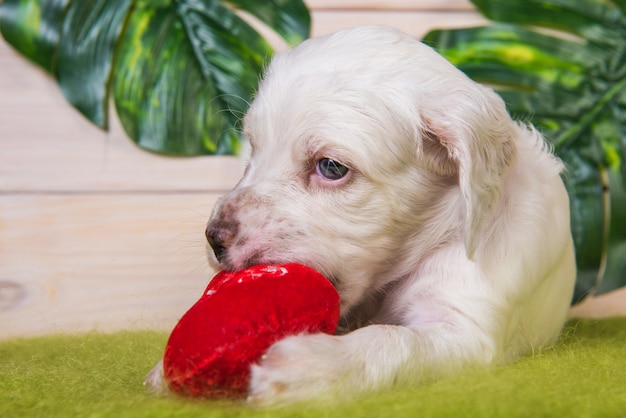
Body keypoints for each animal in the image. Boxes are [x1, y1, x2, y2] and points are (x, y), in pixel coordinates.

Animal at [147, 24, 576, 404]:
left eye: (331, 167)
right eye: (253, 149)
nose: (214, 237)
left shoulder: (466, 330)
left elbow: (394, 340)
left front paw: (312, 365)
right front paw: (164, 371)